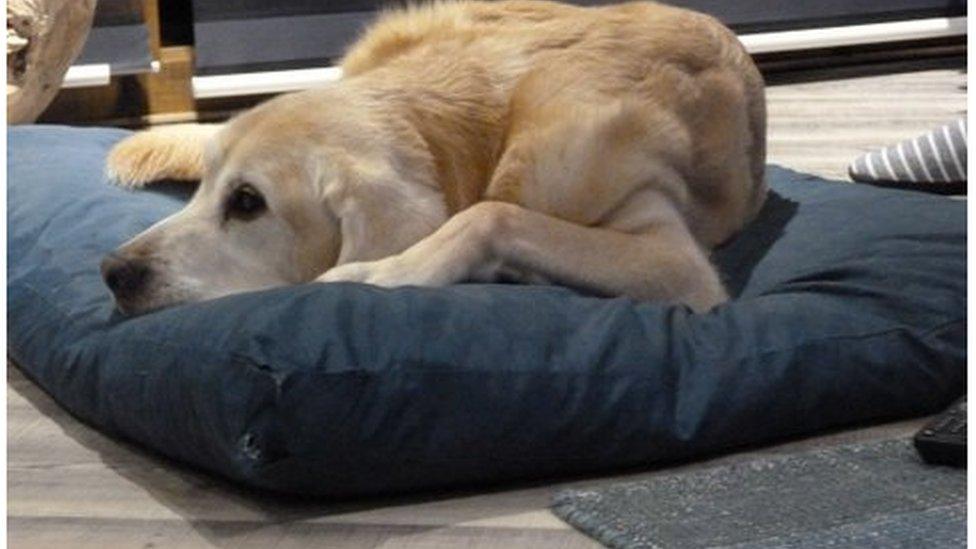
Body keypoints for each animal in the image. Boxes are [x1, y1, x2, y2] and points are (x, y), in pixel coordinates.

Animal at [103, 0, 768, 314]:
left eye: (248, 203)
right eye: (207, 188)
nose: (112, 270)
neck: (487, 132)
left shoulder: (675, 260)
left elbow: (490, 215)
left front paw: (379, 274)